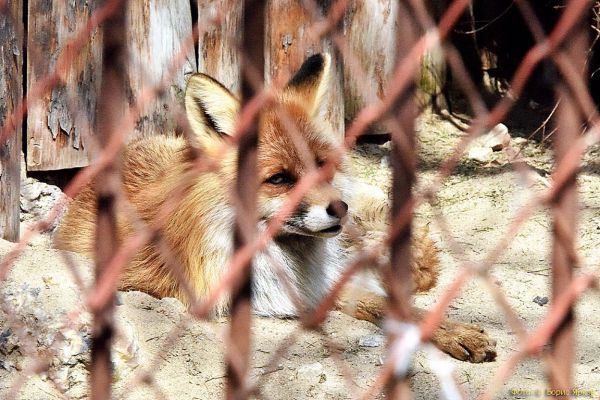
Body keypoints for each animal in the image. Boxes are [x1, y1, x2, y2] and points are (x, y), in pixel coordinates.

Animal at [55, 53, 496, 362]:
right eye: (280, 179)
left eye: (323, 166)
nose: (341, 208)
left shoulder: (320, 285)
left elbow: (392, 304)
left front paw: (452, 330)